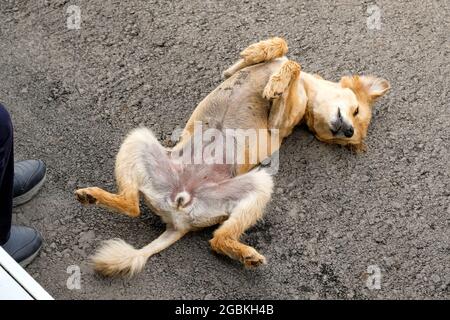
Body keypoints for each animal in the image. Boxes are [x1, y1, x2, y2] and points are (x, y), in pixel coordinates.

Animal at [75, 37, 388, 276]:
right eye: (356, 112)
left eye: (353, 130)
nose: (348, 131)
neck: (307, 92)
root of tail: (179, 212)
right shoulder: (230, 73)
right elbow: (279, 50)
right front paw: (260, 52)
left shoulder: (277, 125)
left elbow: (293, 66)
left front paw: (276, 83)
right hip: (138, 138)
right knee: (131, 204)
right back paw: (92, 196)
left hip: (258, 185)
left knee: (214, 238)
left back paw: (245, 254)